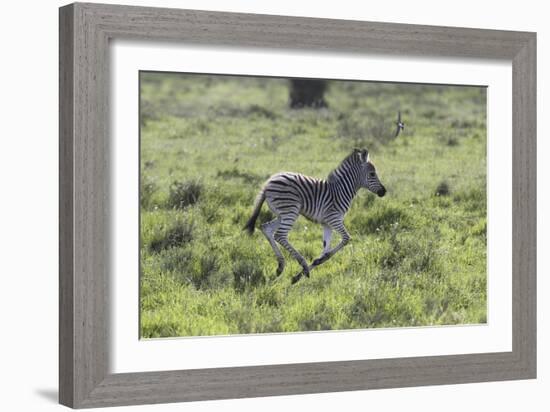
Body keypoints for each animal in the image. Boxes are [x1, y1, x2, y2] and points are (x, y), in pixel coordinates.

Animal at [246, 148, 388, 284]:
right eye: (372, 174)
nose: (383, 192)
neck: (341, 190)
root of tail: (269, 182)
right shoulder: (334, 218)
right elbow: (346, 238)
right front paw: (307, 269)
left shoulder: (327, 224)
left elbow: (326, 250)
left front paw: (301, 274)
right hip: (290, 210)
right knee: (280, 235)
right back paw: (301, 263)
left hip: (283, 214)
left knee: (266, 228)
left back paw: (281, 266)